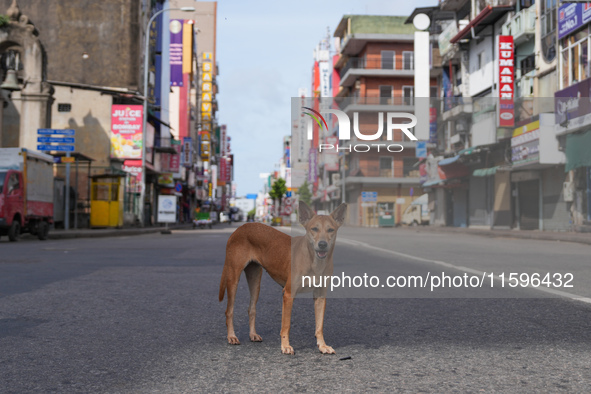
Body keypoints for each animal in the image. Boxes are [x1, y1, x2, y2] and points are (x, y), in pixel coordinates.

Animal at [220, 203, 344, 354]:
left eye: (330, 230)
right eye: (314, 229)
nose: (322, 244)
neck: (313, 260)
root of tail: (240, 228)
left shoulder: (320, 296)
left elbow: (319, 326)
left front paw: (322, 345)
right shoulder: (288, 294)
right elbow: (286, 325)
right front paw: (285, 346)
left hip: (255, 281)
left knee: (251, 309)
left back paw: (253, 334)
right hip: (233, 278)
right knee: (229, 311)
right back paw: (231, 336)